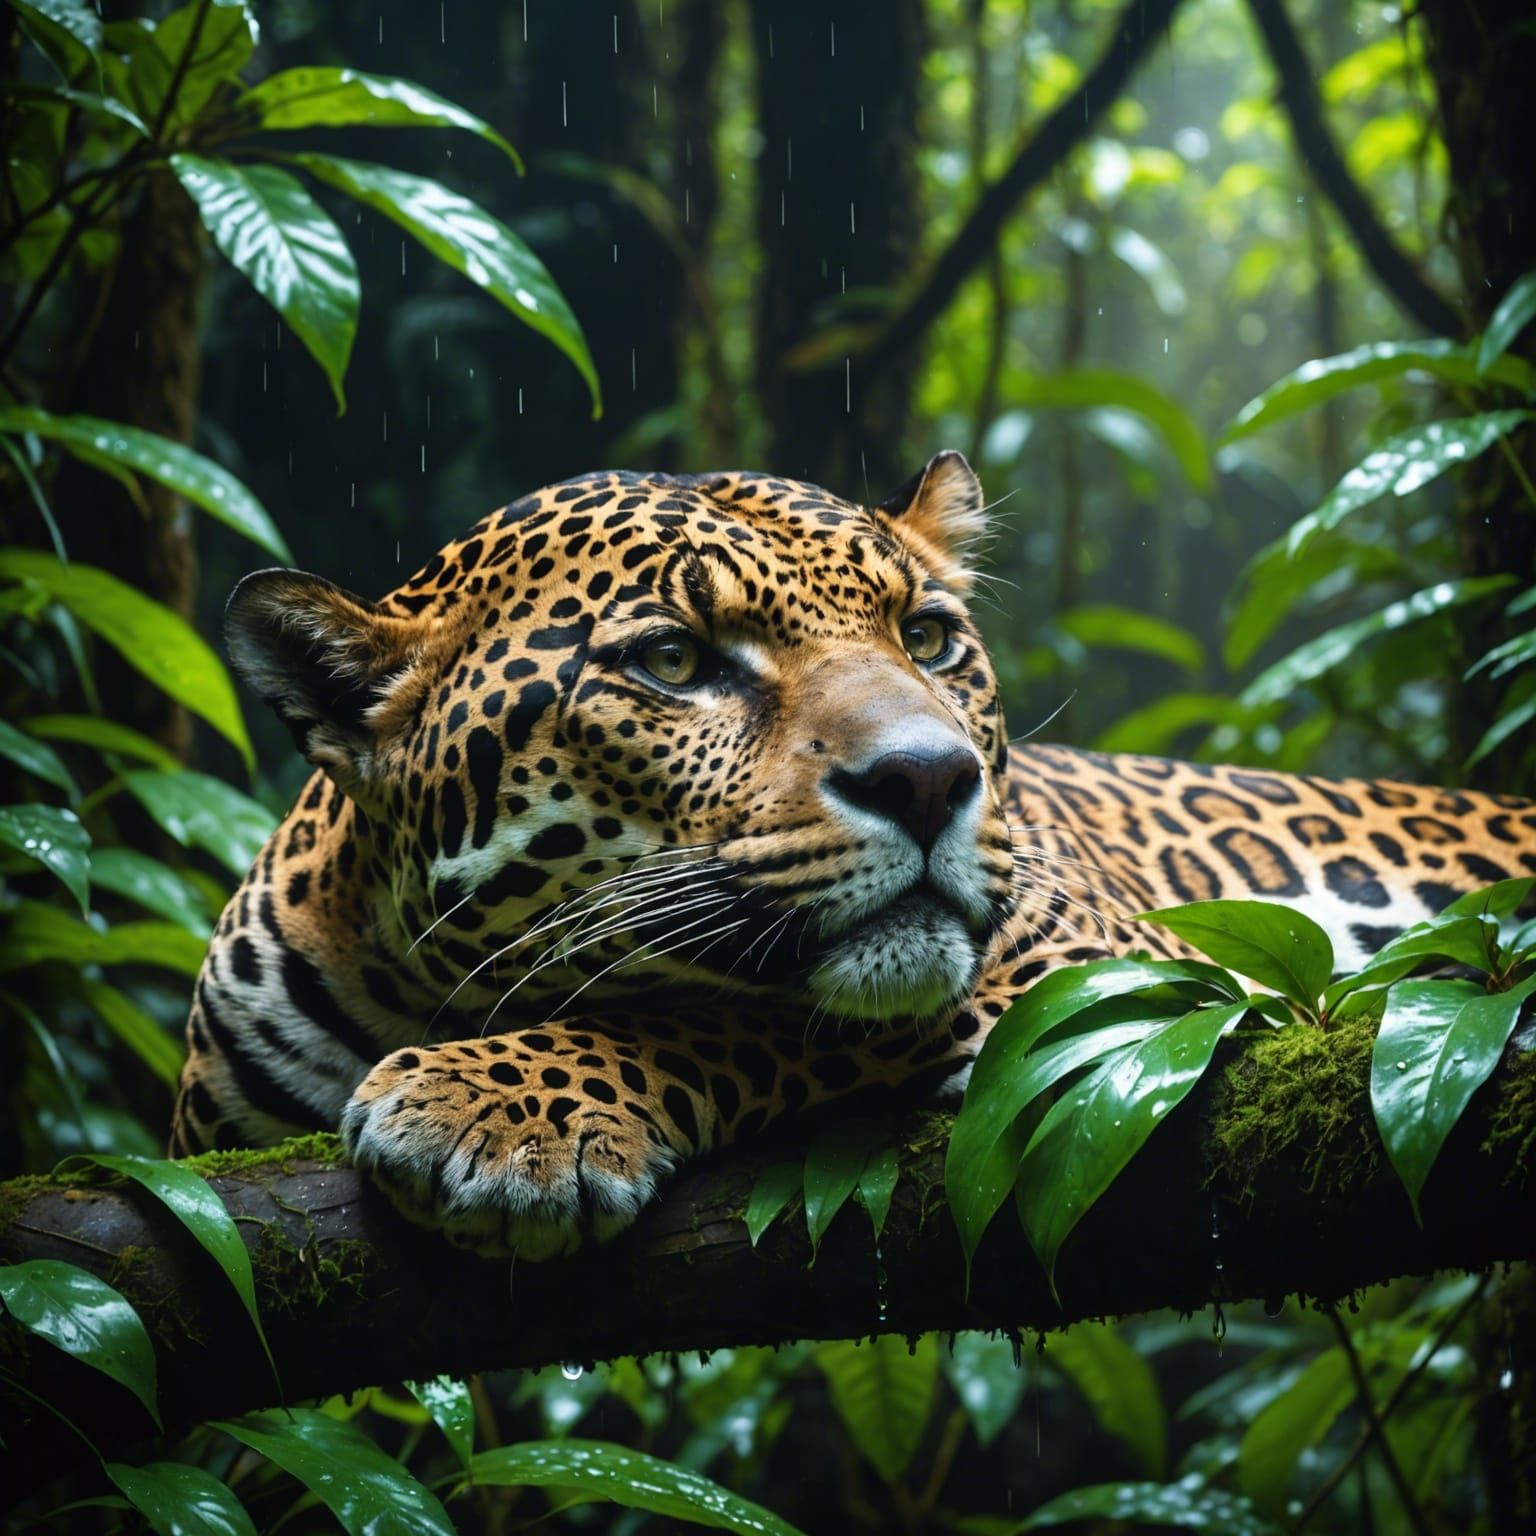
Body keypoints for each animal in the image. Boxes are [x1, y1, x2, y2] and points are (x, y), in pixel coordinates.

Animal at [171, 450, 1536, 1258]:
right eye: (674, 660)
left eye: (927, 637)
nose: (930, 779)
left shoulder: (1121, 973)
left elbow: (741, 1014)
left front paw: (503, 1106)